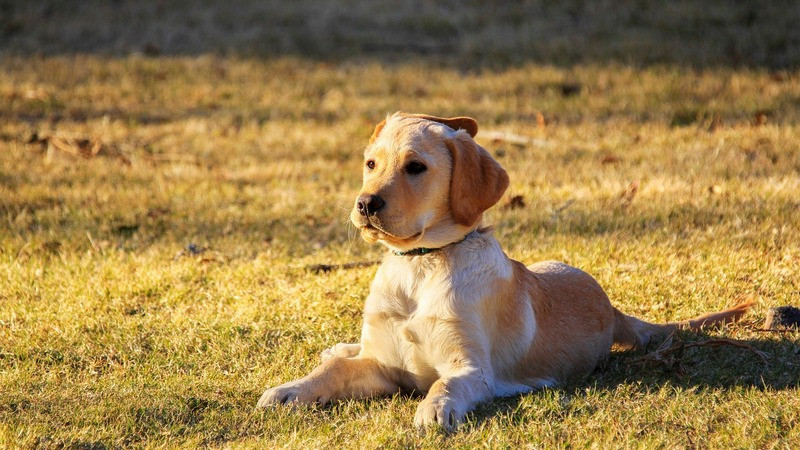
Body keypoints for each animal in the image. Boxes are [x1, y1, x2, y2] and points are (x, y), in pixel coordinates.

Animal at [258, 111, 756, 428]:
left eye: (416, 167)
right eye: (370, 163)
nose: (365, 204)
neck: (421, 266)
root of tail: (611, 308)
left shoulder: (471, 369)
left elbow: (444, 386)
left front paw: (433, 410)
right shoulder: (380, 365)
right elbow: (334, 373)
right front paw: (290, 390)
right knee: (344, 353)